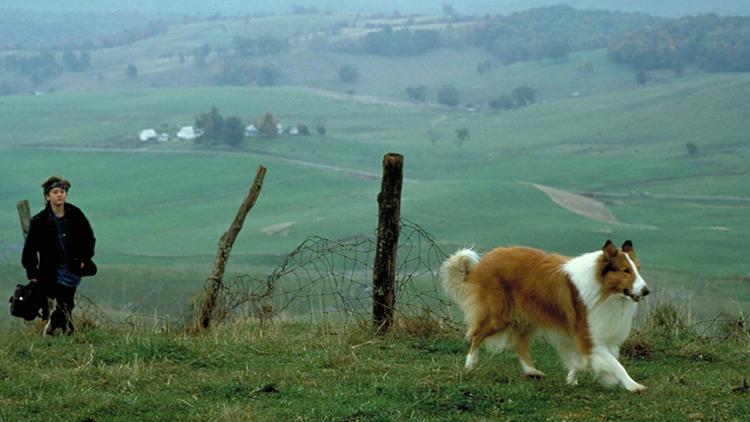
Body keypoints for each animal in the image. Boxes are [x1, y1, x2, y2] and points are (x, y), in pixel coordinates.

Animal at [440, 241, 652, 392]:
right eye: (625, 270)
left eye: (638, 269)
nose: (646, 291)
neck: (604, 289)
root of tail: (483, 262)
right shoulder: (589, 337)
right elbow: (616, 364)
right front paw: (633, 385)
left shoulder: (597, 336)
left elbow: (590, 360)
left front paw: (574, 376)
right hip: (499, 316)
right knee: (476, 335)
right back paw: (470, 365)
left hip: (526, 318)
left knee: (520, 345)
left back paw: (532, 371)